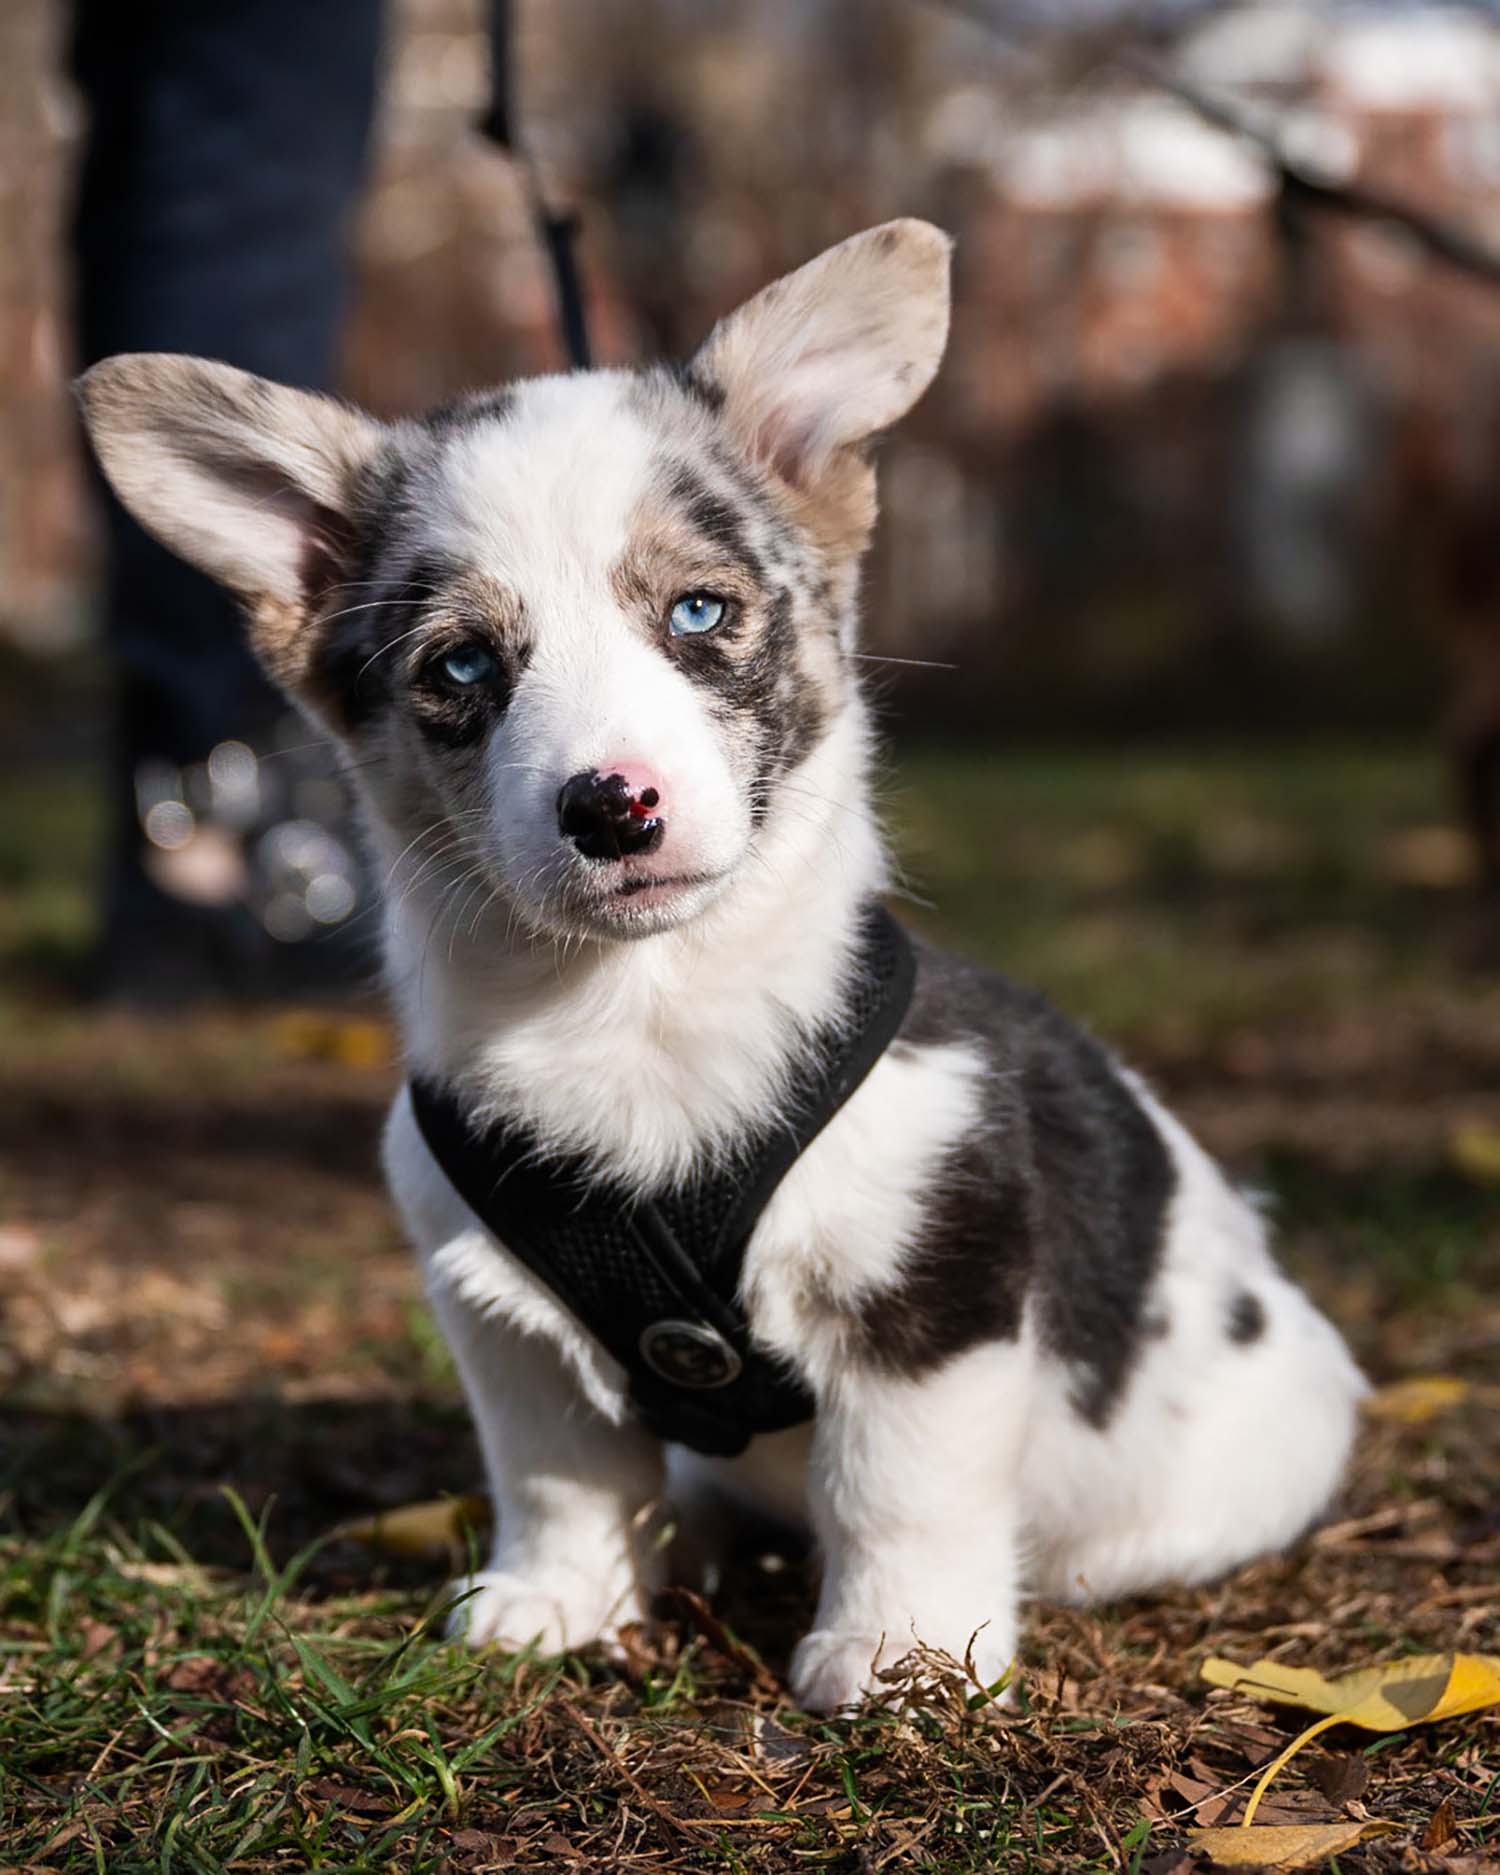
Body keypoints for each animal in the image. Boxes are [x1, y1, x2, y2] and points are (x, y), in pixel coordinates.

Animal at [75, 223, 1365, 1717]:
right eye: (458, 665)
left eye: (698, 612)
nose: (611, 807)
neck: (637, 1007)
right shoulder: (504, 1327)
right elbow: (561, 1478)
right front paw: (555, 1604)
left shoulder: (927, 1295)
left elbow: (894, 1486)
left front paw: (903, 1653)